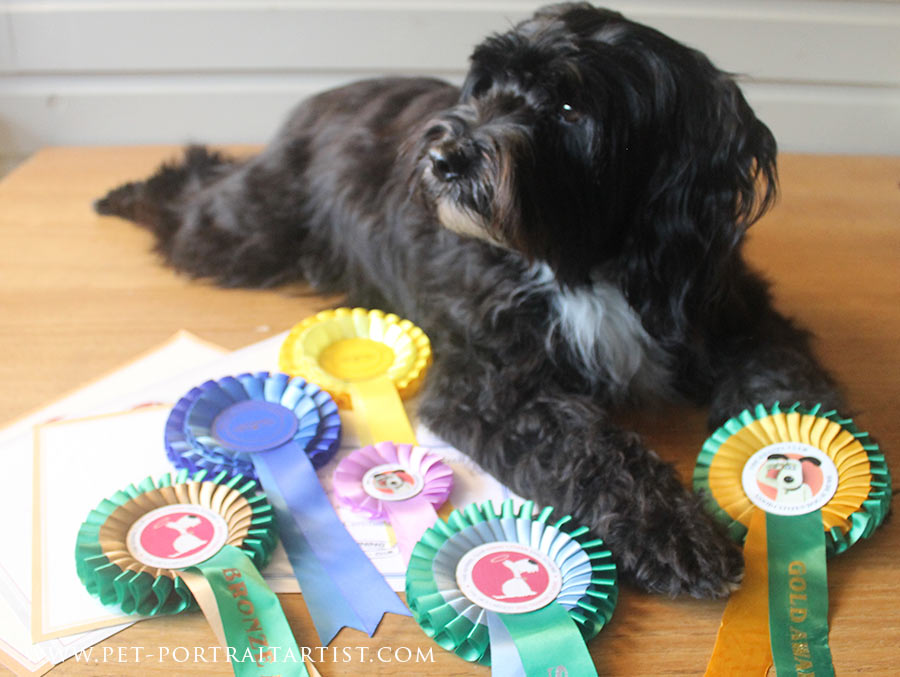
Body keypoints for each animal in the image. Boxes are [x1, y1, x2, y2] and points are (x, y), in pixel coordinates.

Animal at [95, 3, 840, 596]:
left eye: (569, 107)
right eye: (489, 85)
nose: (445, 157)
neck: (583, 259)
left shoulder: (734, 311)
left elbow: (786, 382)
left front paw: (802, 460)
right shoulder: (491, 382)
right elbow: (591, 449)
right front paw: (671, 529)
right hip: (243, 232)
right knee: (193, 193)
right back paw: (125, 193)